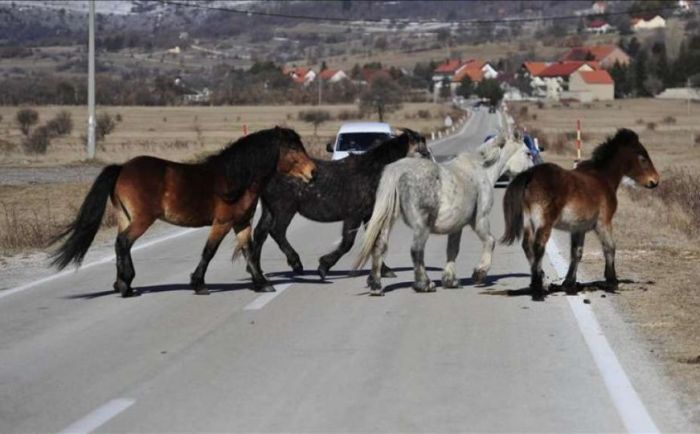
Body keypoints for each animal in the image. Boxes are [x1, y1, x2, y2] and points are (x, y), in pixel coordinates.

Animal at [52, 127, 318, 296]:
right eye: (292, 149)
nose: (313, 172)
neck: (236, 179)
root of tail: (122, 168)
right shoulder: (222, 222)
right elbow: (209, 252)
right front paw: (199, 284)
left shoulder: (241, 223)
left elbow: (249, 252)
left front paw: (262, 283)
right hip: (142, 220)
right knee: (123, 243)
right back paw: (126, 286)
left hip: (125, 217)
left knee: (121, 244)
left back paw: (122, 284)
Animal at [249, 128, 430, 278]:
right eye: (422, 148)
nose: (431, 159)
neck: (374, 170)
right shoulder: (354, 215)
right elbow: (347, 243)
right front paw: (323, 267)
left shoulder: (368, 215)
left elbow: (374, 241)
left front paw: (384, 270)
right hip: (285, 209)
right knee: (276, 232)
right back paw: (296, 264)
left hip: (269, 209)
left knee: (260, 234)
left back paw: (256, 271)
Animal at [352, 110, 532, 296]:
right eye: (528, 153)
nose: (531, 176)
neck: (482, 170)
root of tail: (397, 170)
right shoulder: (480, 219)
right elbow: (490, 241)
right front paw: (479, 273)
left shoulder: (457, 226)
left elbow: (453, 249)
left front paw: (450, 280)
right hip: (421, 226)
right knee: (416, 250)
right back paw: (424, 284)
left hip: (388, 220)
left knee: (379, 246)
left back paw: (376, 285)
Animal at [500, 127, 660, 300]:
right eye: (643, 158)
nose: (655, 181)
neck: (602, 178)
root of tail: (530, 174)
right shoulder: (603, 223)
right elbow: (610, 247)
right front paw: (612, 281)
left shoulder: (578, 228)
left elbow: (576, 253)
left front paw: (569, 283)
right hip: (543, 222)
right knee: (538, 246)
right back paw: (538, 288)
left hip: (528, 221)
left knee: (527, 246)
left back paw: (541, 280)